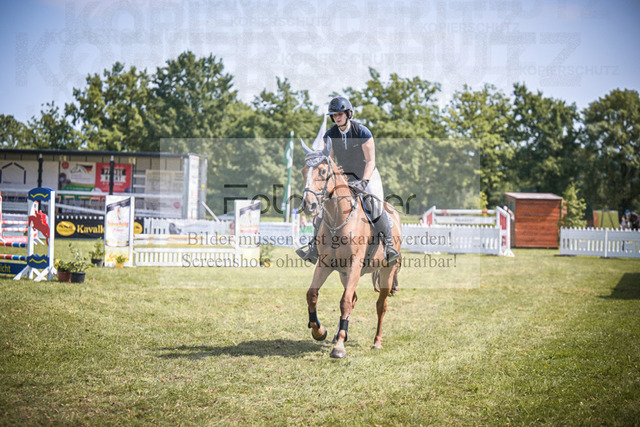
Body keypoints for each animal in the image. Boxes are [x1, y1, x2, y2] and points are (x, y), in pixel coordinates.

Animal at [299, 138, 402, 359]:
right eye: (304, 171)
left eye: (322, 171)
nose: (308, 205)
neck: (339, 219)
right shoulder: (326, 264)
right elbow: (312, 295)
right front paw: (319, 331)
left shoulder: (355, 263)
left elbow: (345, 301)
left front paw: (338, 348)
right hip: (344, 274)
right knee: (353, 298)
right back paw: (341, 334)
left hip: (386, 271)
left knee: (380, 305)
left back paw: (376, 341)